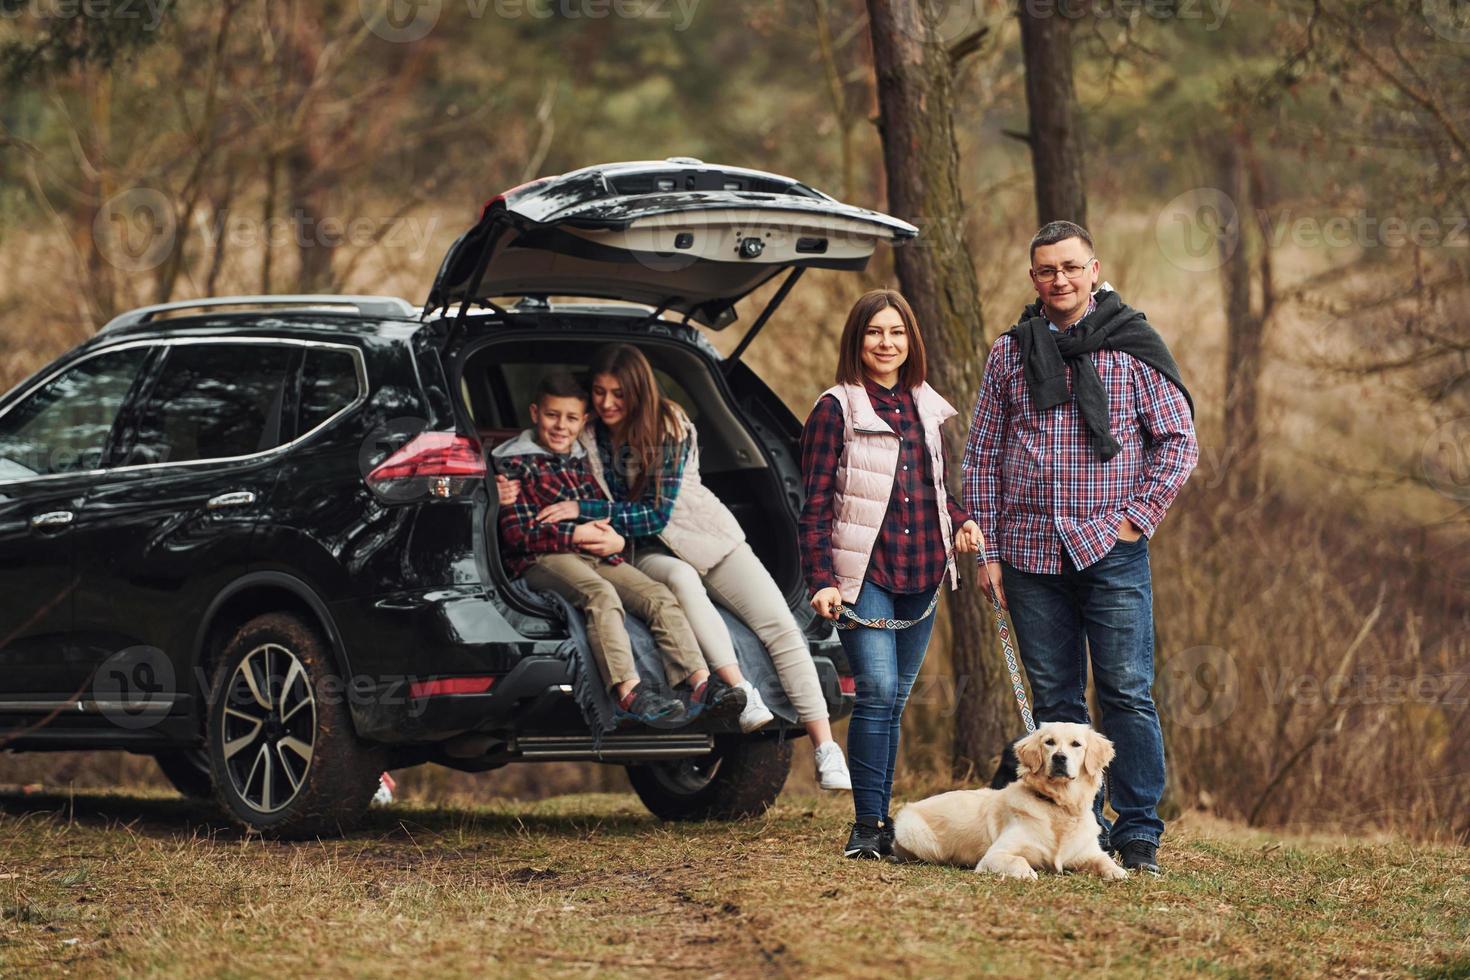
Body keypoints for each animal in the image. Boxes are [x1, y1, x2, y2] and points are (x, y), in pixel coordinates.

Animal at [887, 719, 1128, 881]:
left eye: (1076, 744)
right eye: (1049, 742)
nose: (1059, 758)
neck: (1059, 806)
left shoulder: (1086, 852)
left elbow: (1104, 860)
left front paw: (1118, 871)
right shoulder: (994, 855)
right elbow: (1018, 859)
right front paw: (1027, 872)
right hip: (915, 834)